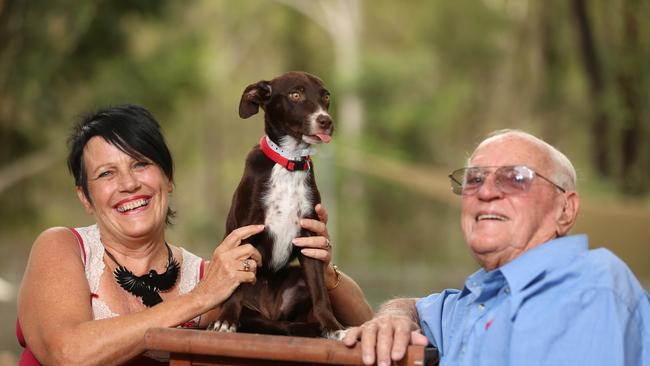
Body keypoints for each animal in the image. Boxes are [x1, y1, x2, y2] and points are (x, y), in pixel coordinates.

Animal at [209, 71, 342, 338]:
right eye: (295, 95)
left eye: (325, 97)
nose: (326, 121)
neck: (289, 163)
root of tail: (269, 313)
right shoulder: (246, 230)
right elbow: (236, 283)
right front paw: (226, 320)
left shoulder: (309, 234)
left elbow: (321, 294)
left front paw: (334, 328)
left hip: (297, 278)